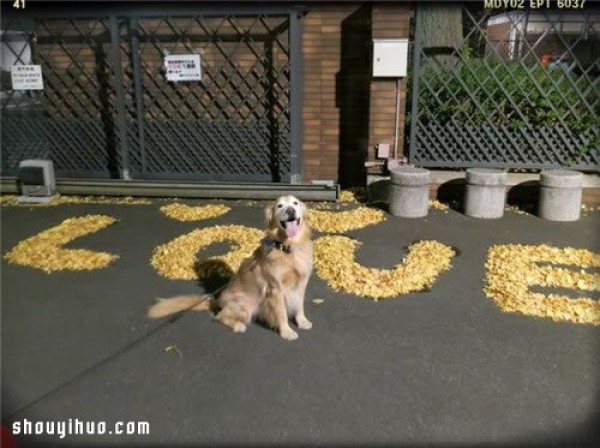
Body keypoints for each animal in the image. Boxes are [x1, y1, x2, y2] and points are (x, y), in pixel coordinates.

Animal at [147, 195, 312, 340]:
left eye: (295, 203)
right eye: (280, 206)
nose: (290, 210)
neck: (287, 247)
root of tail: (217, 301)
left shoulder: (302, 283)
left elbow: (300, 305)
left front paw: (302, 321)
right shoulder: (275, 289)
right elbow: (281, 313)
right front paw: (286, 331)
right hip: (244, 305)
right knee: (219, 317)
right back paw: (238, 326)